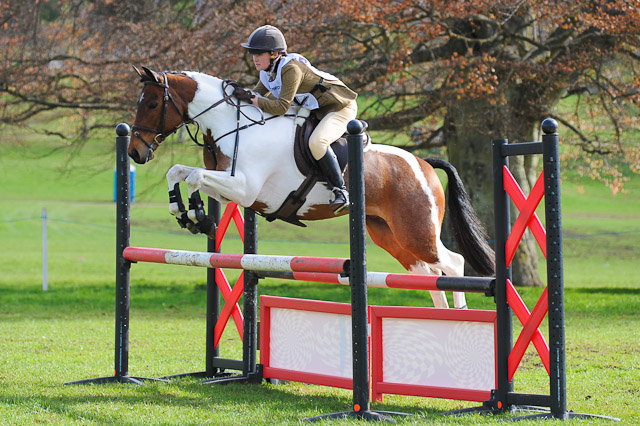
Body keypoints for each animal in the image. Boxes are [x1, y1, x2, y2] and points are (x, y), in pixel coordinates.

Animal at [129, 65, 496, 308]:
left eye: (151, 104)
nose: (135, 152)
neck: (234, 126)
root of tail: (424, 163)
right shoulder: (232, 186)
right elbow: (179, 172)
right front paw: (187, 214)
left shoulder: (245, 188)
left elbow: (193, 176)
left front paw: (198, 217)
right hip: (389, 233)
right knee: (428, 273)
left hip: (417, 231)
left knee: (452, 263)